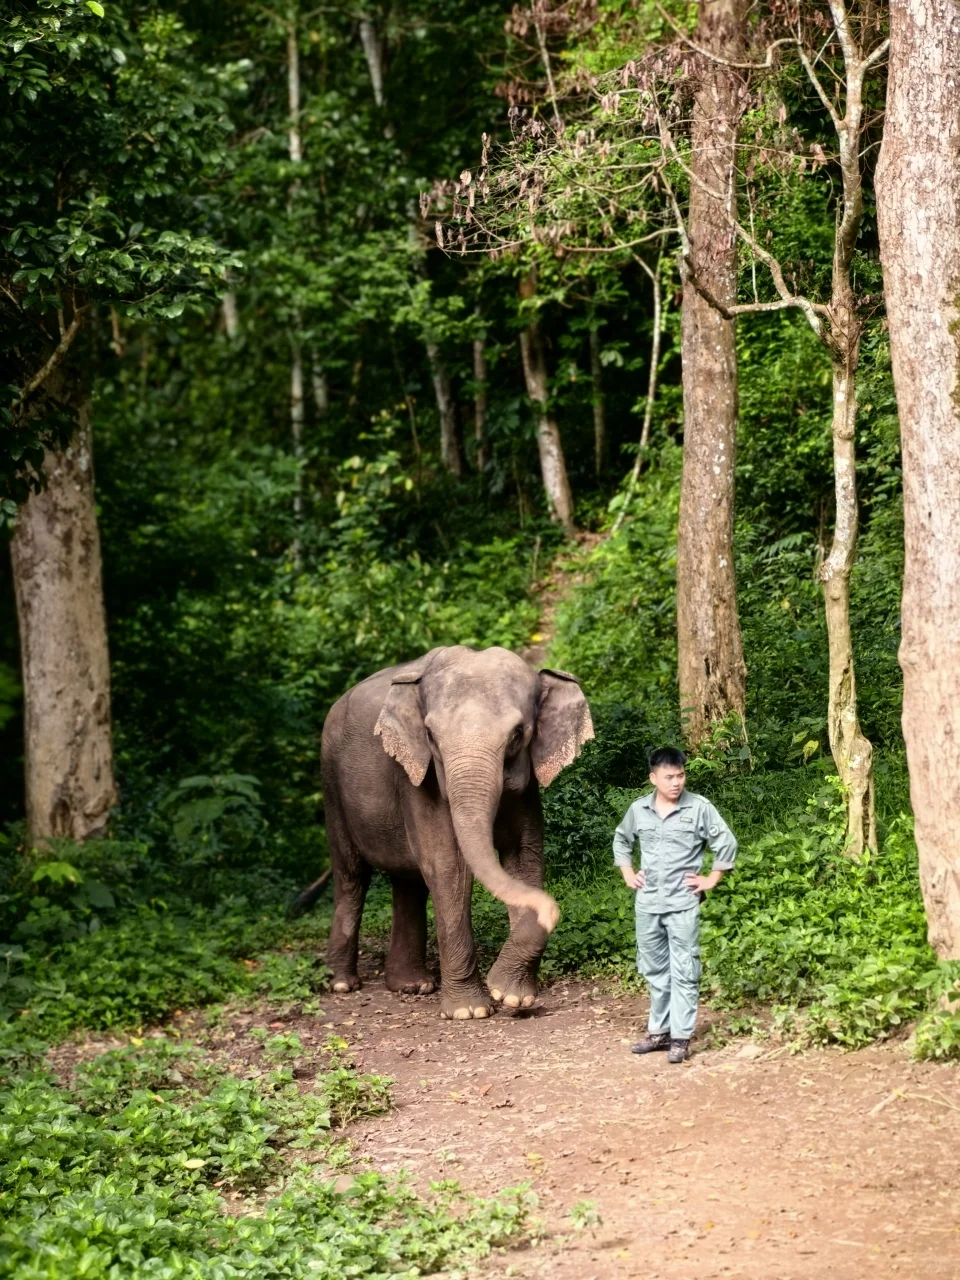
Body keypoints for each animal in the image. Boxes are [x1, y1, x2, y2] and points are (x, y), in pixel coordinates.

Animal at [323, 650, 593, 1018]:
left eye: (517, 734)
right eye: (430, 735)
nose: (552, 908)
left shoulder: (527, 793)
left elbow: (524, 860)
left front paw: (512, 996)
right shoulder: (418, 781)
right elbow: (448, 867)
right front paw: (471, 1011)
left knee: (408, 883)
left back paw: (412, 985)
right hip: (332, 786)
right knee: (351, 876)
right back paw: (343, 984)